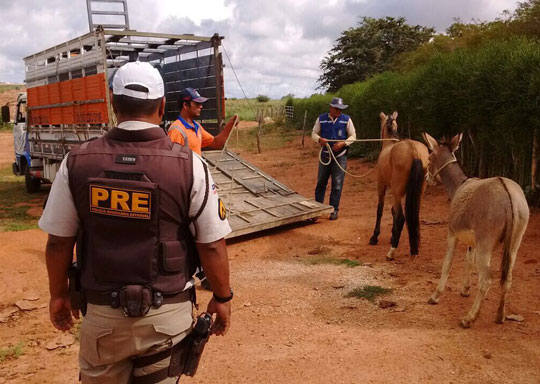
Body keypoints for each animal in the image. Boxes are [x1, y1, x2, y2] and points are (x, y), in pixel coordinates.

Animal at [370, 112, 428, 260]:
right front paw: (392, 235)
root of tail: (414, 151)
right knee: (413, 216)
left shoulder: (382, 185)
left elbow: (380, 210)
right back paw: (413, 248)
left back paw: (391, 252)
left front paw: (375, 237)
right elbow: (393, 212)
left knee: (402, 218)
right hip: (418, 193)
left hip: (396, 191)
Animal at [422, 132, 528, 328]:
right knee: (507, 279)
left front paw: (435, 296)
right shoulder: (473, 242)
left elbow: (447, 263)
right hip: (514, 244)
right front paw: (465, 289)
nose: (427, 179)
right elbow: (468, 261)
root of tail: (507, 195)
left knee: (486, 280)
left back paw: (469, 318)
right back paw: (500, 316)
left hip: (486, 244)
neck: (459, 184)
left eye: (430, 157)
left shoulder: (452, 233)